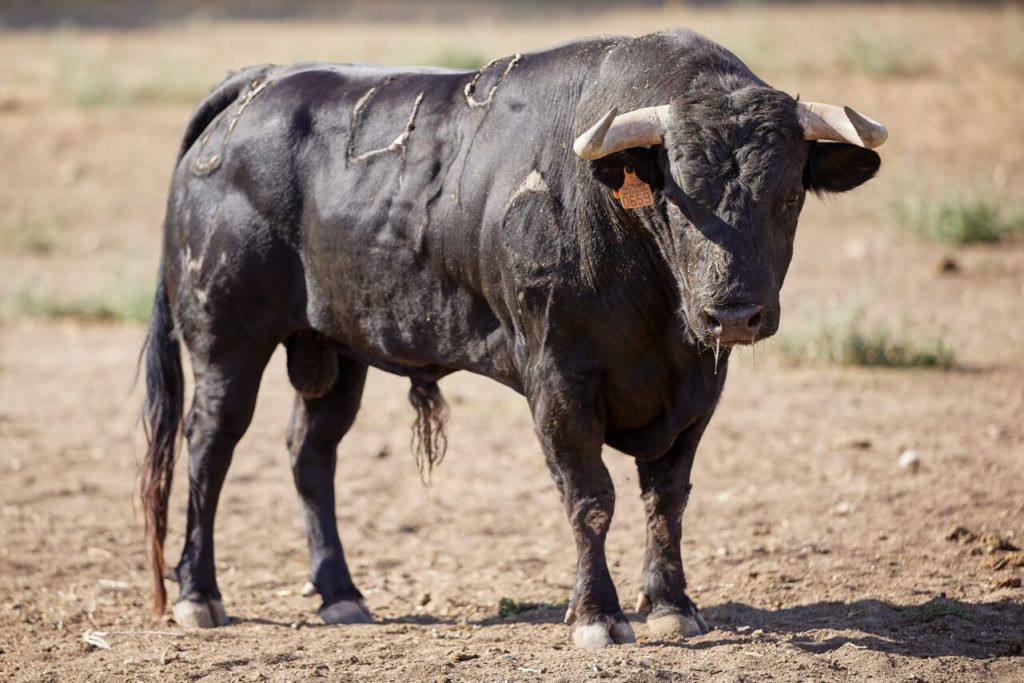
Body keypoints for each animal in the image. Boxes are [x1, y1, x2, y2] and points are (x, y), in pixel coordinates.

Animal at [140, 29, 884, 651]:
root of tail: (264, 80)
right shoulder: (557, 380)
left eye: (789, 196)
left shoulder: (699, 386)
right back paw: (200, 595)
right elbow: (591, 498)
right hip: (225, 339)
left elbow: (667, 499)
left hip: (334, 349)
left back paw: (341, 595)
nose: (732, 313)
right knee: (209, 444)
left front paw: (673, 605)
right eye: (676, 197)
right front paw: (598, 616)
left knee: (310, 451)